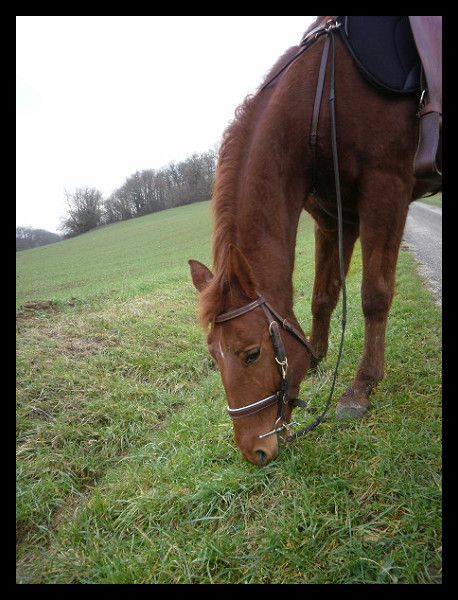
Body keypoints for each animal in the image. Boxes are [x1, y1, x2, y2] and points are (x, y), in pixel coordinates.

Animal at [188, 16, 441, 466]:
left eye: (251, 353)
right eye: (213, 357)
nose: (254, 449)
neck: (319, 98)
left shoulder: (386, 191)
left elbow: (374, 295)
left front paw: (361, 387)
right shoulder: (334, 219)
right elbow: (323, 296)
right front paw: (317, 358)